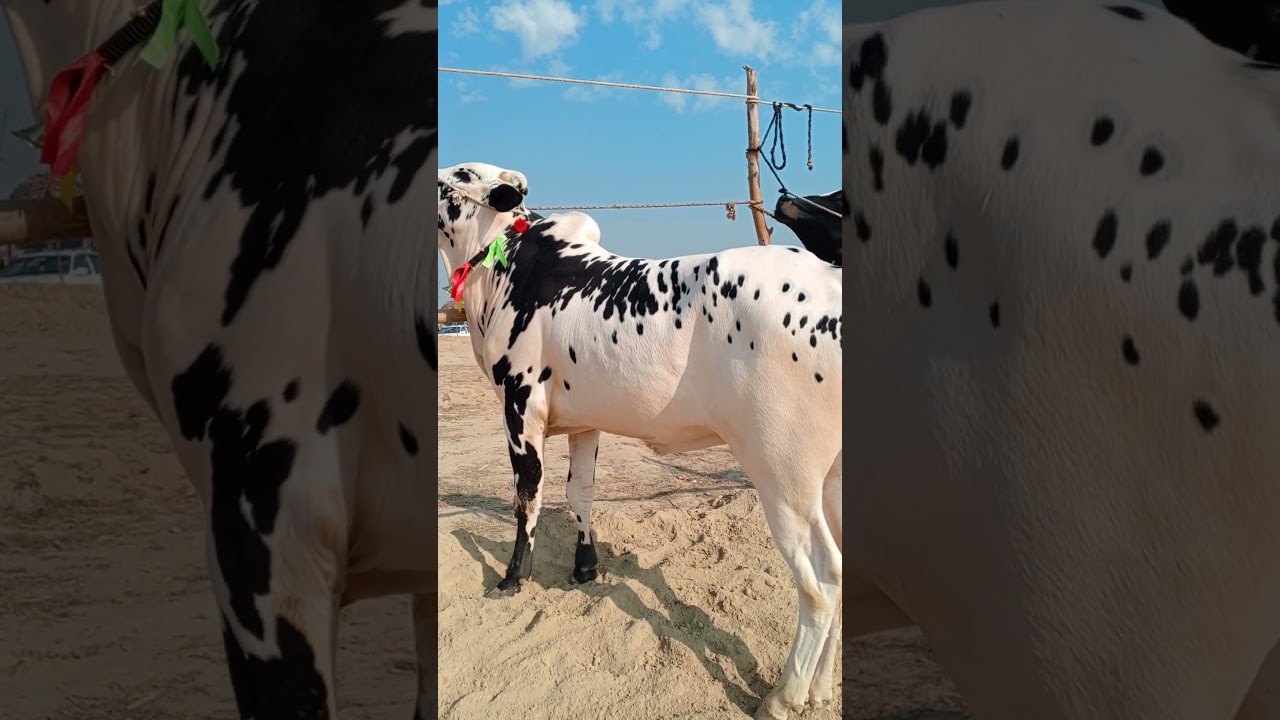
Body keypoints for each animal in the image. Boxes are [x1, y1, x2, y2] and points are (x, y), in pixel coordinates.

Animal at [437, 161, 843, 720]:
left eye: (460, 174)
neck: (506, 268)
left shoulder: (520, 407)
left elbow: (527, 498)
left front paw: (512, 579)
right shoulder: (585, 419)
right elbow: (580, 493)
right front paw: (585, 569)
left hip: (784, 473)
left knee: (822, 580)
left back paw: (784, 696)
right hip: (831, 478)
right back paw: (821, 688)